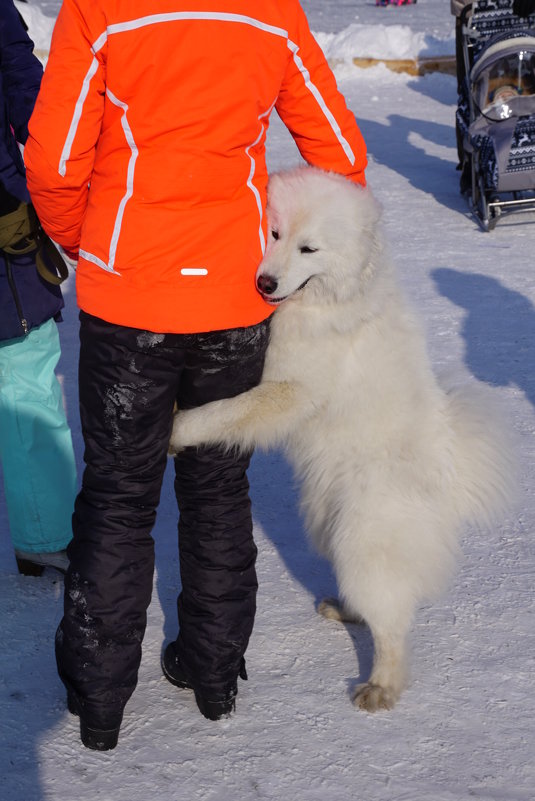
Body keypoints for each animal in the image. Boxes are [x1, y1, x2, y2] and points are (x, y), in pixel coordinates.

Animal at [170, 166, 516, 708]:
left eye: (309, 248)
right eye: (273, 233)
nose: (265, 281)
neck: (328, 302)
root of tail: (450, 475)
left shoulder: (290, 392)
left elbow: (224, 411)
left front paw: (176, 427)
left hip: (362, 535)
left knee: (392, 622)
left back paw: (380, 687)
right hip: (326, 522)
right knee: (377, 601)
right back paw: (346, 611)